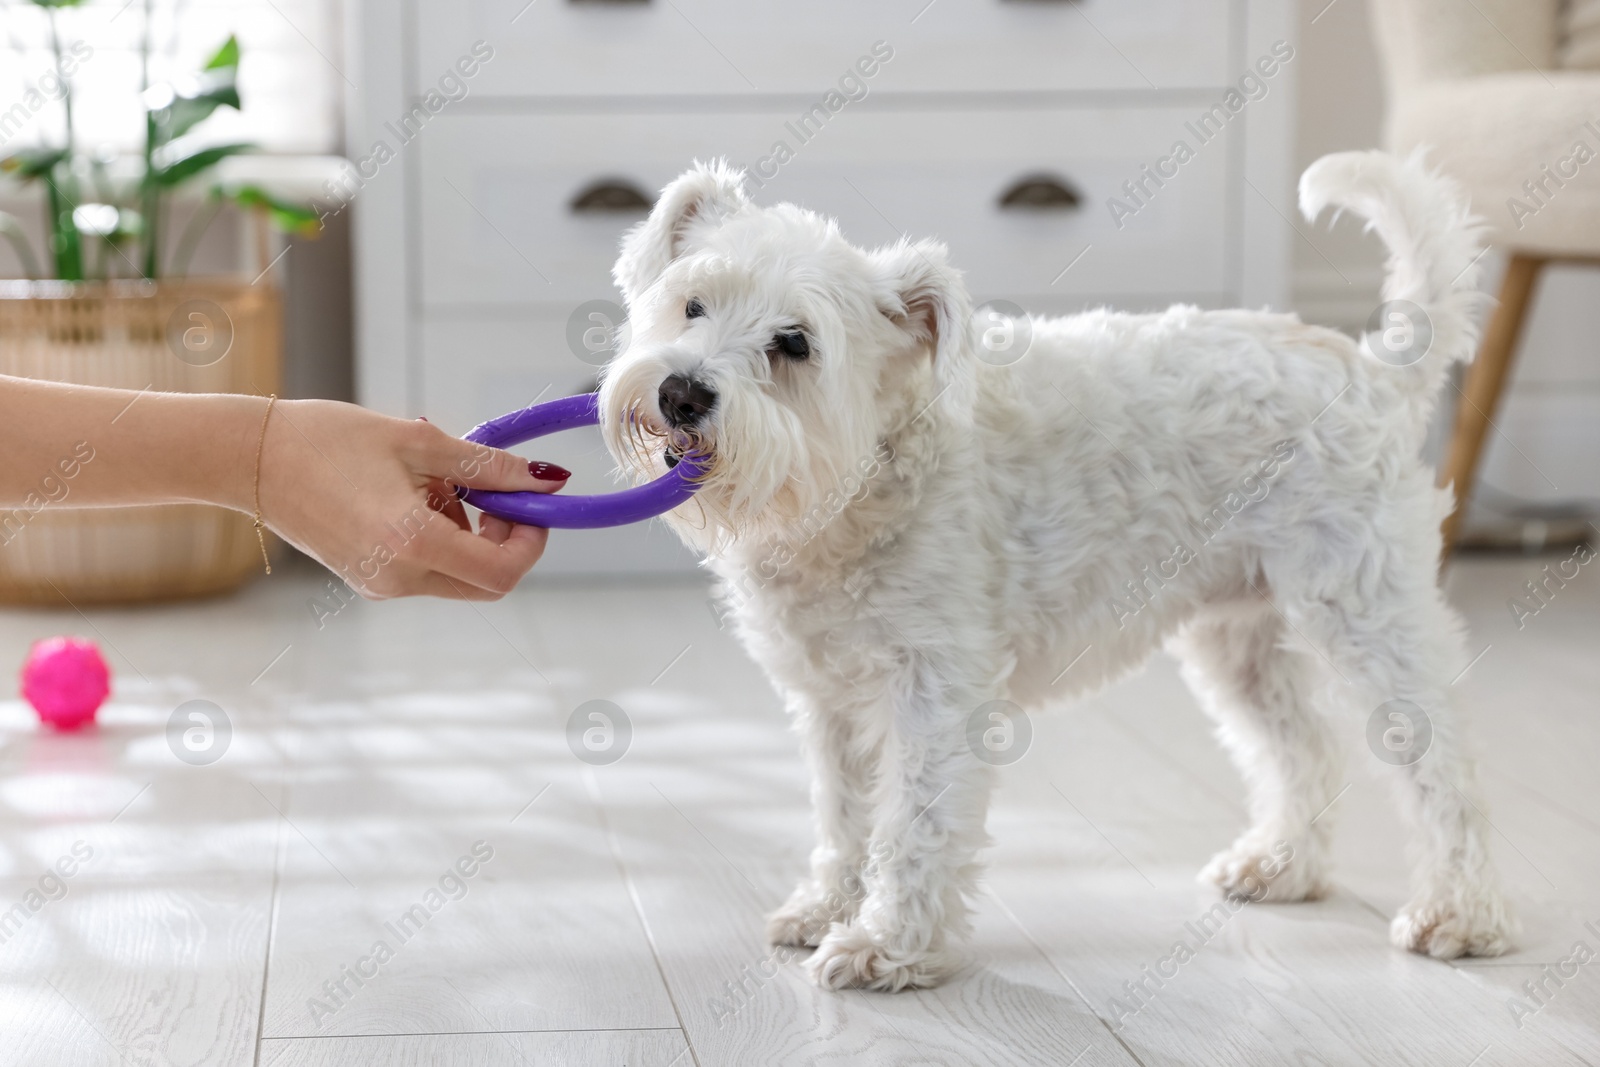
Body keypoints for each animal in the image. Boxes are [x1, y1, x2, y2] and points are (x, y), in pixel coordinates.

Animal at [598, 147, 1510, 991]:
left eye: (795, 343)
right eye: (692, 303)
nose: (682, 392)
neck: (859, 484)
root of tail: (1376, 369)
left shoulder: (937, 690)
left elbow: (915, 823)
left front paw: (886, 946)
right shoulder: (830, 700)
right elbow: (844, 814)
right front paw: (828, 907)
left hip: (1367, 612)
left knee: (1447, 766)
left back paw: (1460, 914)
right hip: (1238, 635)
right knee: (1303, 747)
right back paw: (1281, 867)